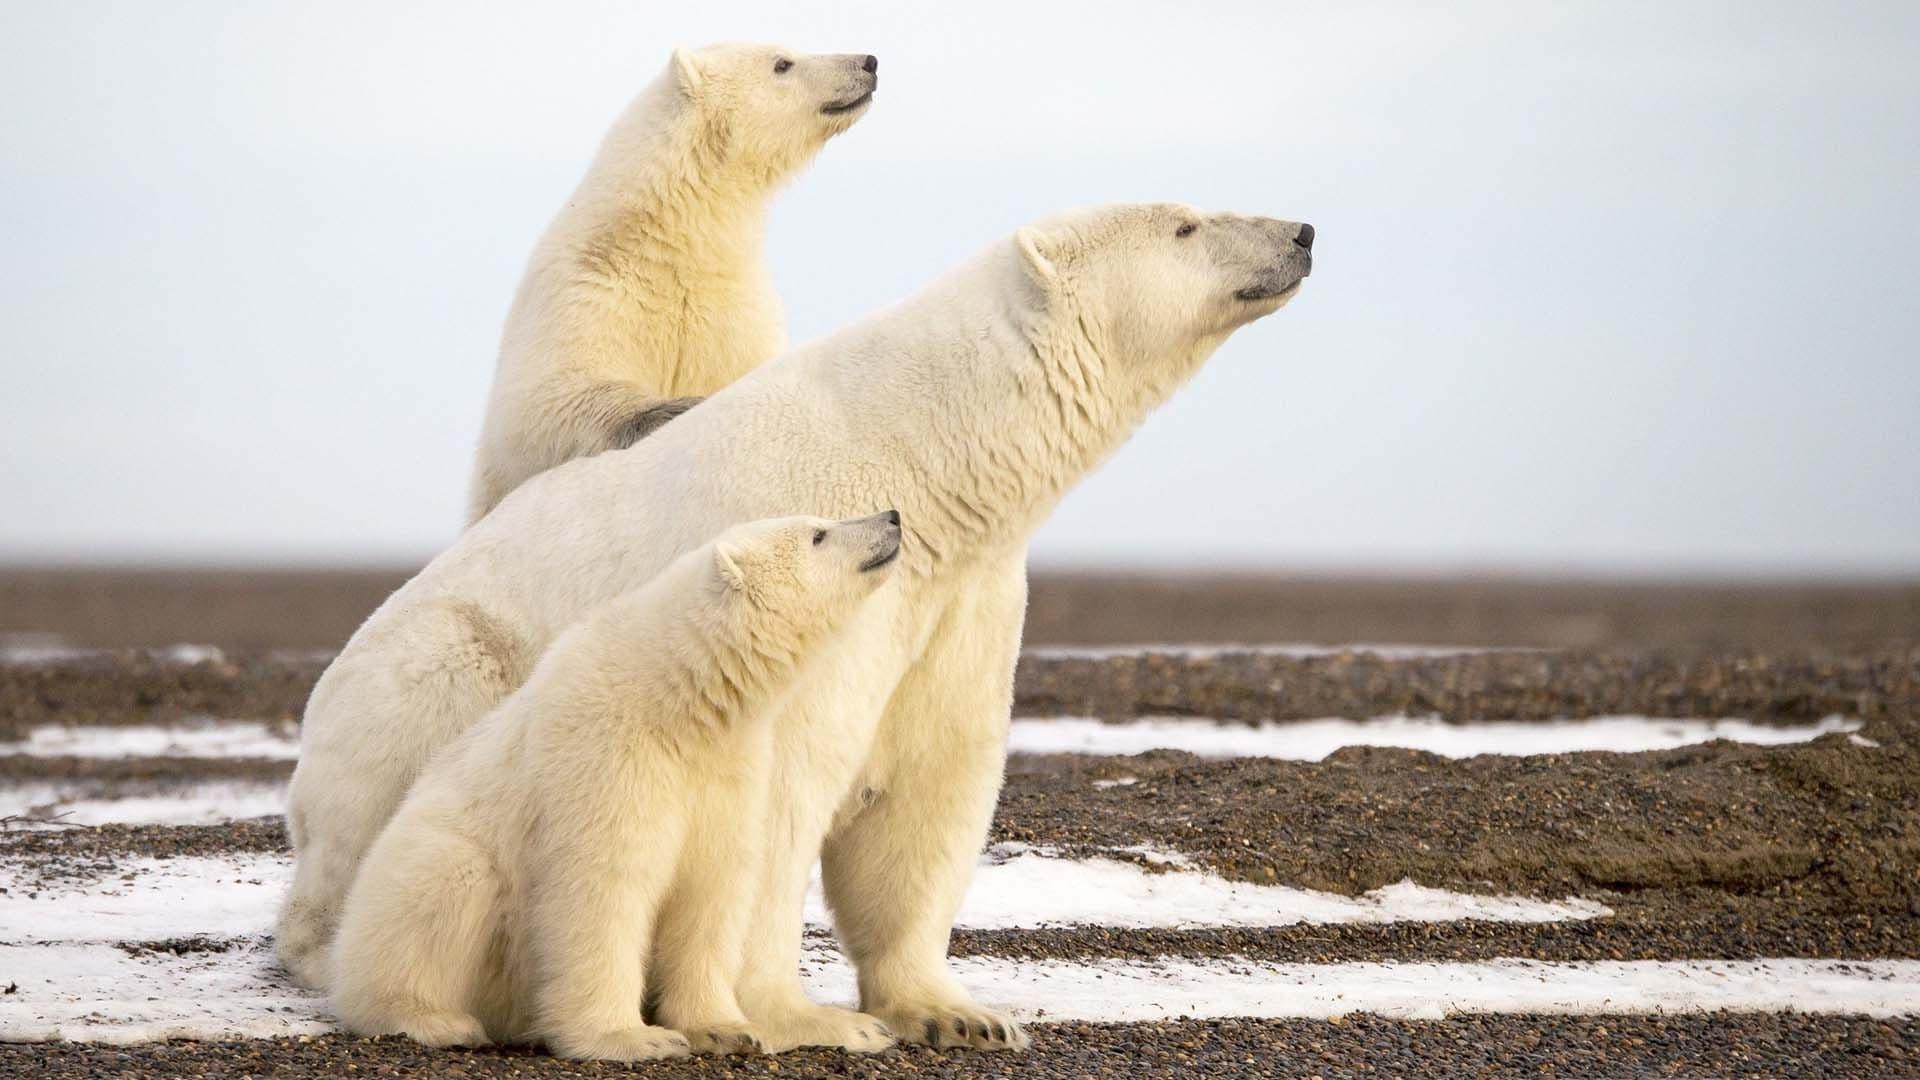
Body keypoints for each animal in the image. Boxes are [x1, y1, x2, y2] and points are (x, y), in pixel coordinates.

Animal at [328, 511, 898, 1060]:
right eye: (819, 533)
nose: (891, 518)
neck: (678, 698)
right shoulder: (607, 756)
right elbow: (603, 887)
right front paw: (635, 1039)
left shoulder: (728, 773)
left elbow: (710, 891)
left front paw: (726, 1029)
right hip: (426, 867)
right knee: (442, 894)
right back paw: (436, 1019)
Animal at [468, 46, 879, 522]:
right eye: (782, 63)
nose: (868, 62)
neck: (670, 239)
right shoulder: (586, 290)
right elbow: (539, 403)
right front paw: (673, 408)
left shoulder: (732, 309)